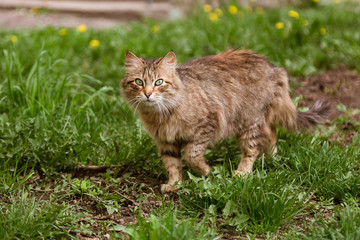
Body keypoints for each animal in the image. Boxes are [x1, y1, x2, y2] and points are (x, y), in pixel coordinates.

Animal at [121, 50, 332, 193]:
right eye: (139, 82)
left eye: (159, 82)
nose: (148, 94)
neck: (160, 115)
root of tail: (274, 68)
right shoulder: (165, 141)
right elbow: (172, 165)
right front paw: (174, 184)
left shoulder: (207, 126)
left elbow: (191, 155)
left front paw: (206, 171)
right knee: (271, 134)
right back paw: (273, 158)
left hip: (249, 122)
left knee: (252, 149)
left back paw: (242, 173)